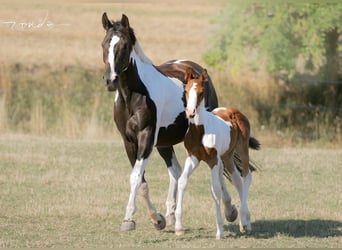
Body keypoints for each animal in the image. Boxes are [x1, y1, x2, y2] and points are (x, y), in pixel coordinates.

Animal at [101, 13, 219, 232]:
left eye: (124, 45)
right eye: (104, 43)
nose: (110, 80)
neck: (132, 96)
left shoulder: (146, 137)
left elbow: (135, 177)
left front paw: (128, 219)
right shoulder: (129, 141)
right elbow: (141, 180)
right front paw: (158, 219)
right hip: (164, 142)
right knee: (176, 171)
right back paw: (171, 214)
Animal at [175, 68, 260, 238]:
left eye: (201, 92)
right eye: (186, 90)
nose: (190, 112)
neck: (199, 131)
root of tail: (234, 111)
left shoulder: (213, 159)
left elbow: (215, 190)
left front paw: (220, 231)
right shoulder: (193, 157)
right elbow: (182, 181)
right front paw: (179, 226)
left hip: (242, 150)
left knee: (246, 176)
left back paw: (245, 221)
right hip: (227, 156)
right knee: (237, 180)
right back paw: (244, 221)